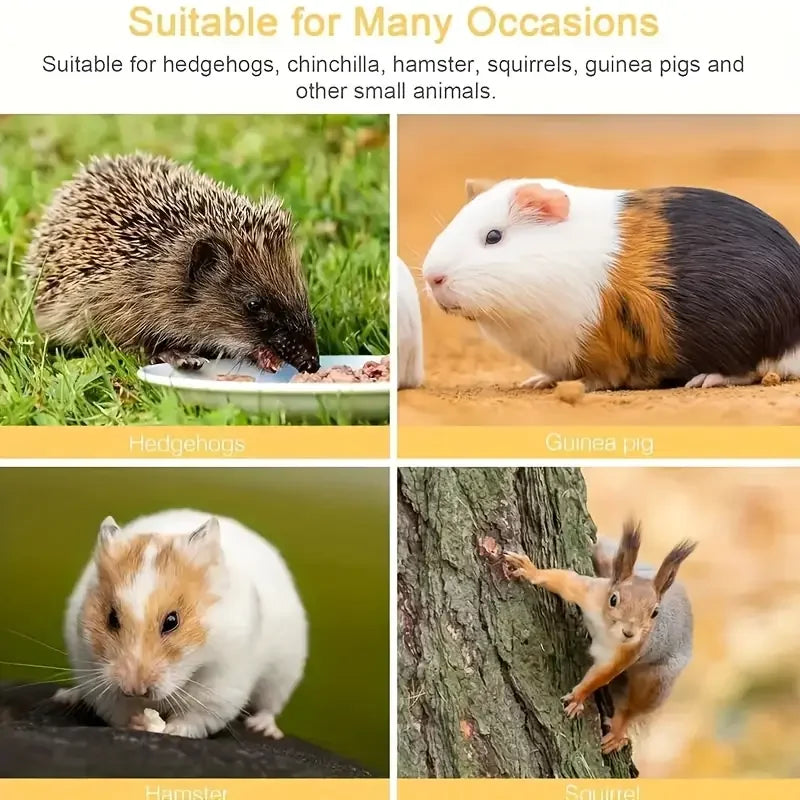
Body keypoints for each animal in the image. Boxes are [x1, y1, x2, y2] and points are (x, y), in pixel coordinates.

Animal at [503, 520, 696, 754]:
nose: (629, 633)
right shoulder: (590, 592)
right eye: (613, 599)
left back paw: (618, 732)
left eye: (655, 613)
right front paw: (529, 570)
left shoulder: (628, 652)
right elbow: (563, 580)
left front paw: (578, 697)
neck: (606, 628)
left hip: (658, 679)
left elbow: (600, 676)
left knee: (634, 709)